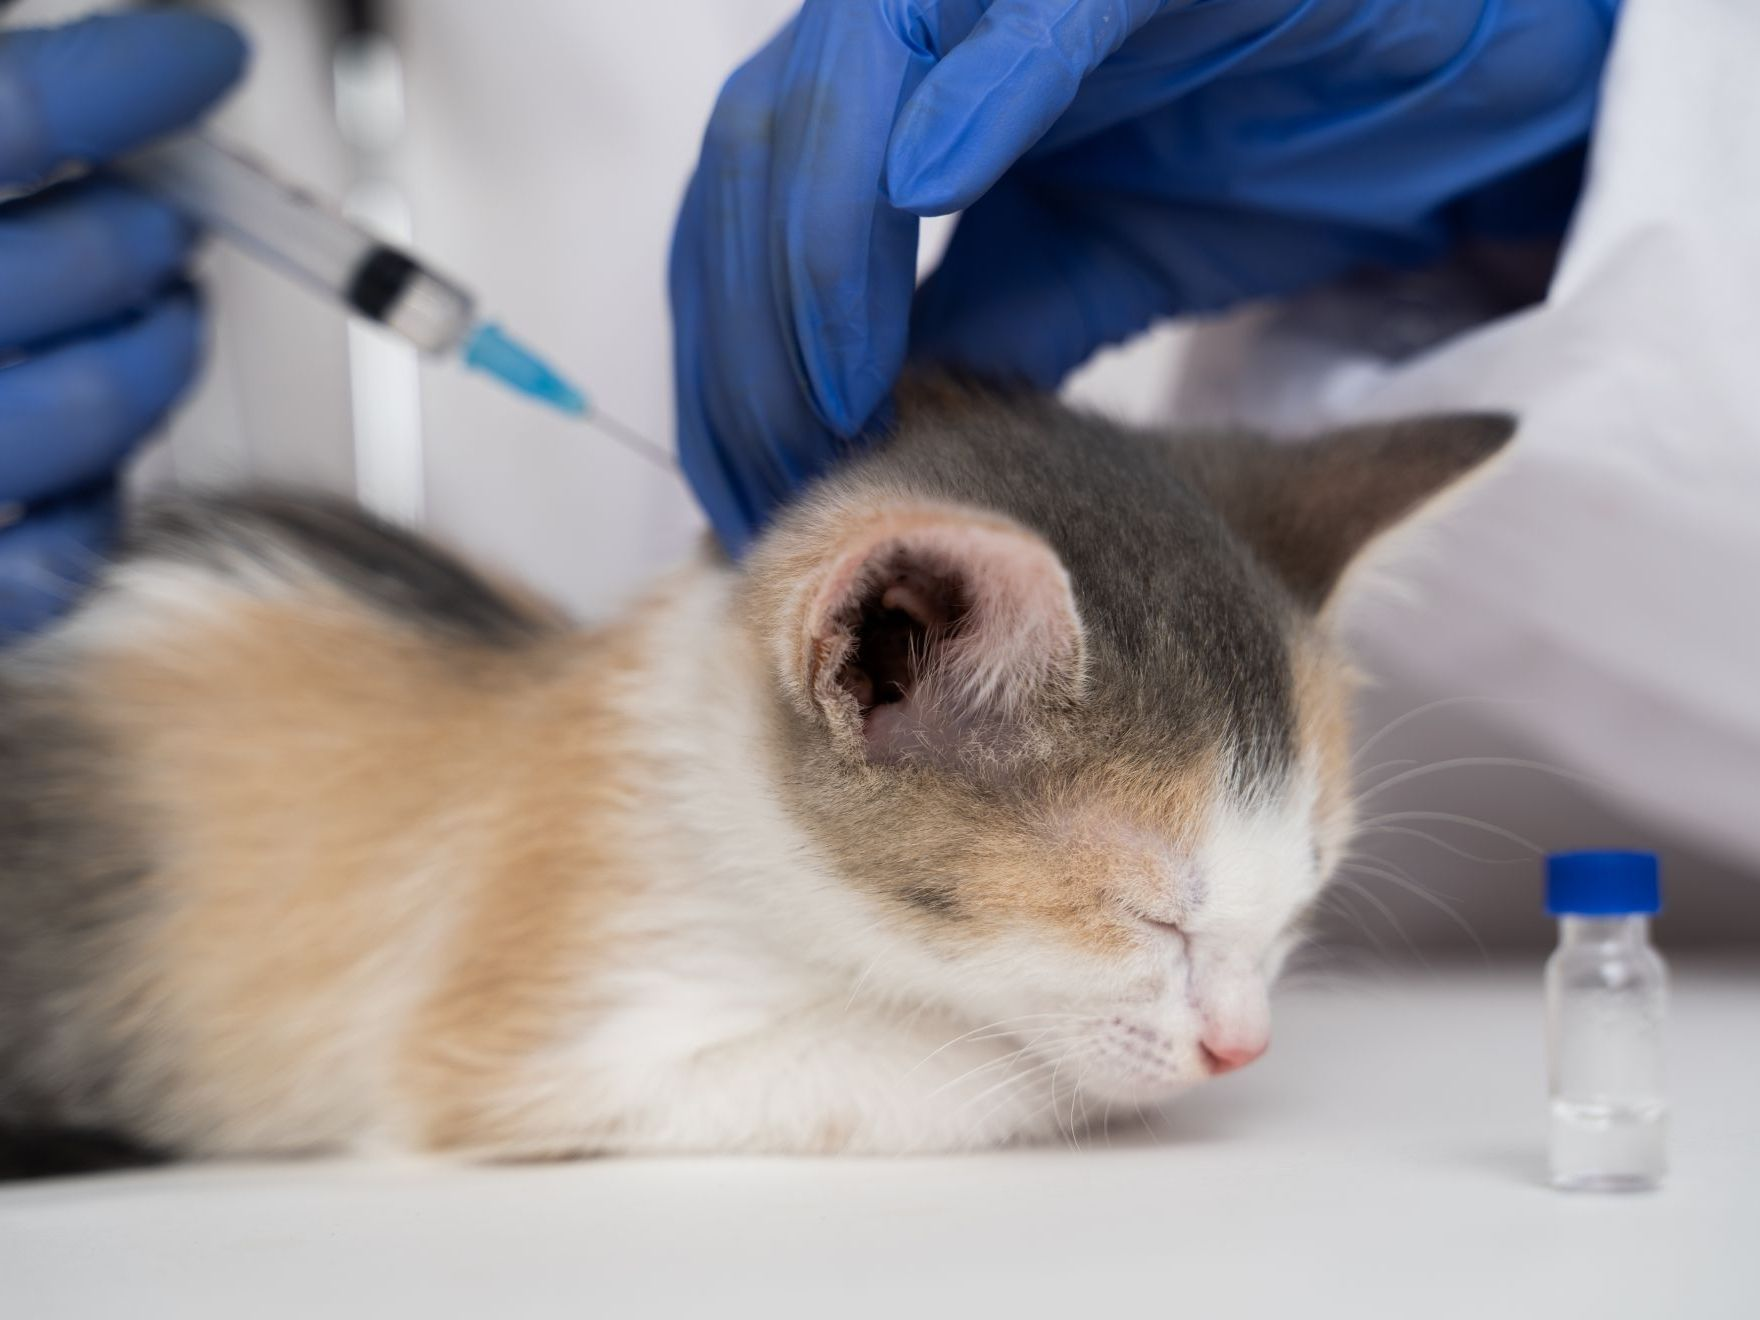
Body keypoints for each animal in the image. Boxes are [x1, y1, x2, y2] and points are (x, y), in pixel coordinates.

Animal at [3, 381, 1513, 1168]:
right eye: (1145, 918)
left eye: (1300, 899)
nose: (1241, 1044)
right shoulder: (516, 1040)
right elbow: (953, 1071)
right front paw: (1057, 1073)